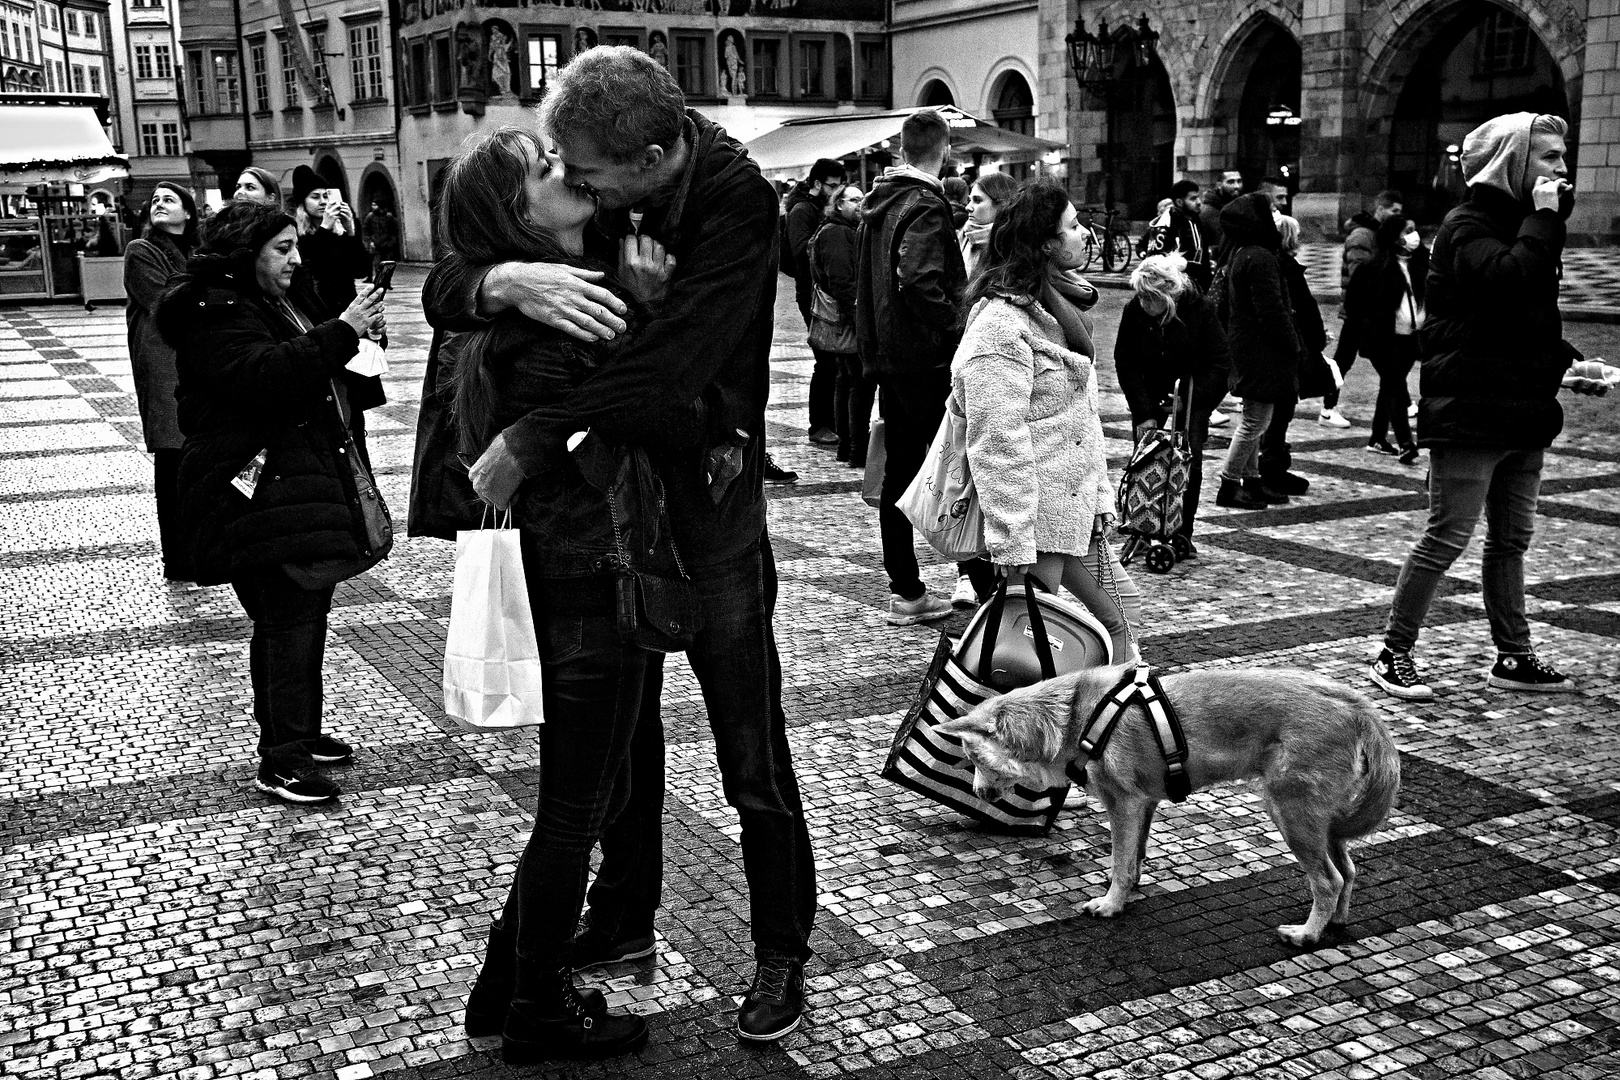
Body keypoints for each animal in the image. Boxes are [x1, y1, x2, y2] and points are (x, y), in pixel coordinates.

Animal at [946, 667, 1399, 945]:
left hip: (1291, 812)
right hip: (1323, 821)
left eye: (973, 759)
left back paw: (1307, 934)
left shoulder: (1123, 803)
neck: (1074, 716)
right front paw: (1129, 890)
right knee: (1348, 870)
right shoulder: (1143, 803)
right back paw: (1336, 921)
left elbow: (1119, 861)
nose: (979, 795)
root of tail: (1354, 702)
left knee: (1328, 880)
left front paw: (1111, 904)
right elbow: (1134, 858)